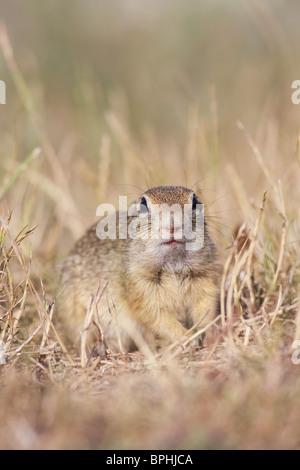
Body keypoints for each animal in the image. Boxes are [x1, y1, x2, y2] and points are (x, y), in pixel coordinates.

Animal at [56, 185, 220, 350]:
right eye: (143, 203)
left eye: (195, 201)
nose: (173, 226)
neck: (173, 264)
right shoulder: (139, 288)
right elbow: (156, 316)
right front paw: (186, 338)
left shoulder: (205, 278)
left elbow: (206, 306)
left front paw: (207, 330)